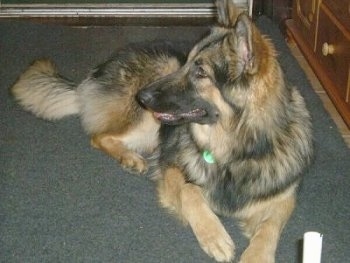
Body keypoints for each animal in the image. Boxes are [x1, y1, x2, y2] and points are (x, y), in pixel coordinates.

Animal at [10, 1, 314, 262]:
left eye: (200, 73)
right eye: (187, 62)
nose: (142, 97)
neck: (235, 149)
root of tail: (96, 74)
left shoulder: (282, 198)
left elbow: (270, 228)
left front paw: (257, 256)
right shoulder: (172, 166)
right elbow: (190, 191)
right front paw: (214, 235)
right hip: (149, 118)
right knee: (99, 136)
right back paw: (130, 157)